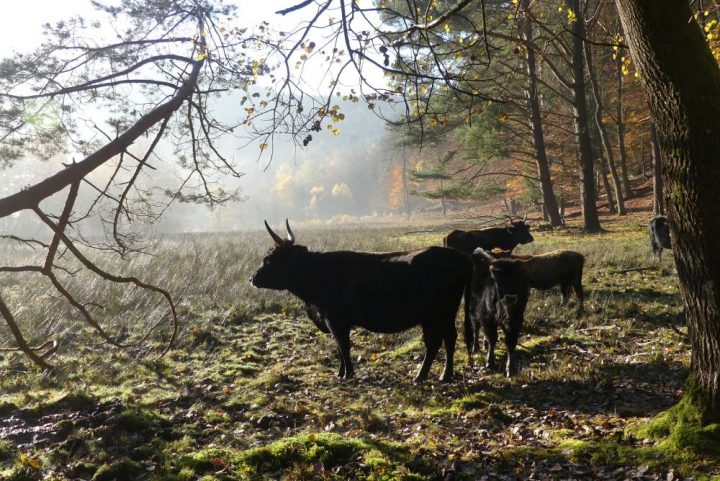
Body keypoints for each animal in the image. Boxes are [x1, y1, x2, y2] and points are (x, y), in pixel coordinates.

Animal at [250, 220, 476, 382]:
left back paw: (426, 376)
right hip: (440, 316)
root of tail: (460, 257)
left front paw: (346, 374)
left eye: (269, 259)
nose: (252, 279)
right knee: (446, 339)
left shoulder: (336, 320)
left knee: (438, 341)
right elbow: (340, 347)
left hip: (438, 314)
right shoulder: (335, 322)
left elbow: (344, 346)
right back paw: (442, 375)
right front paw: (341, 372)